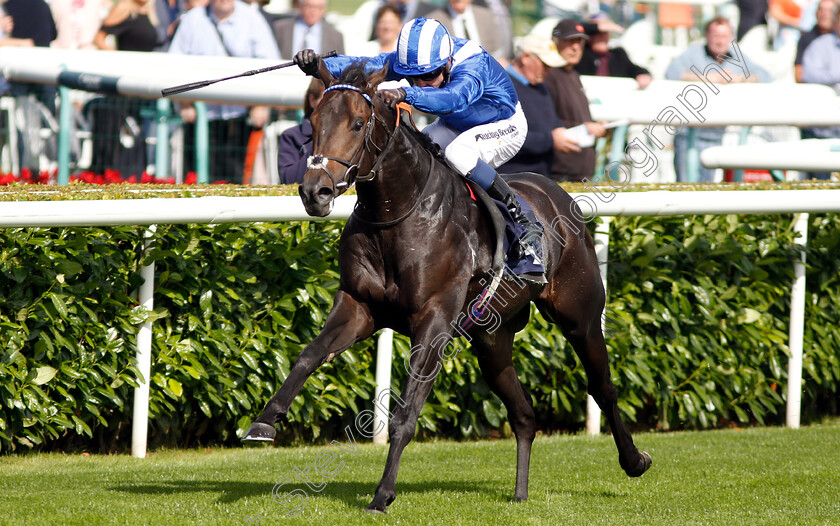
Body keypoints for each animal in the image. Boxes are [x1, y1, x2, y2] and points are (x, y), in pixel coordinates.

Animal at [243, 59, 648, 512]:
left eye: (358, 122)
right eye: (313, 121)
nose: (315, 191)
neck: (400, 213)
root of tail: (557, 193)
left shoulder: (434, 320)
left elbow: (405, 413)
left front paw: (382, 494)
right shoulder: (359, 305)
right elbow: (309, 354)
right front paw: (265, 420)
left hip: (580, 315)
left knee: (603, 388)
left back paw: (634, 460)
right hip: (492, 340)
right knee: (524, 414)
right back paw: (520, 492)